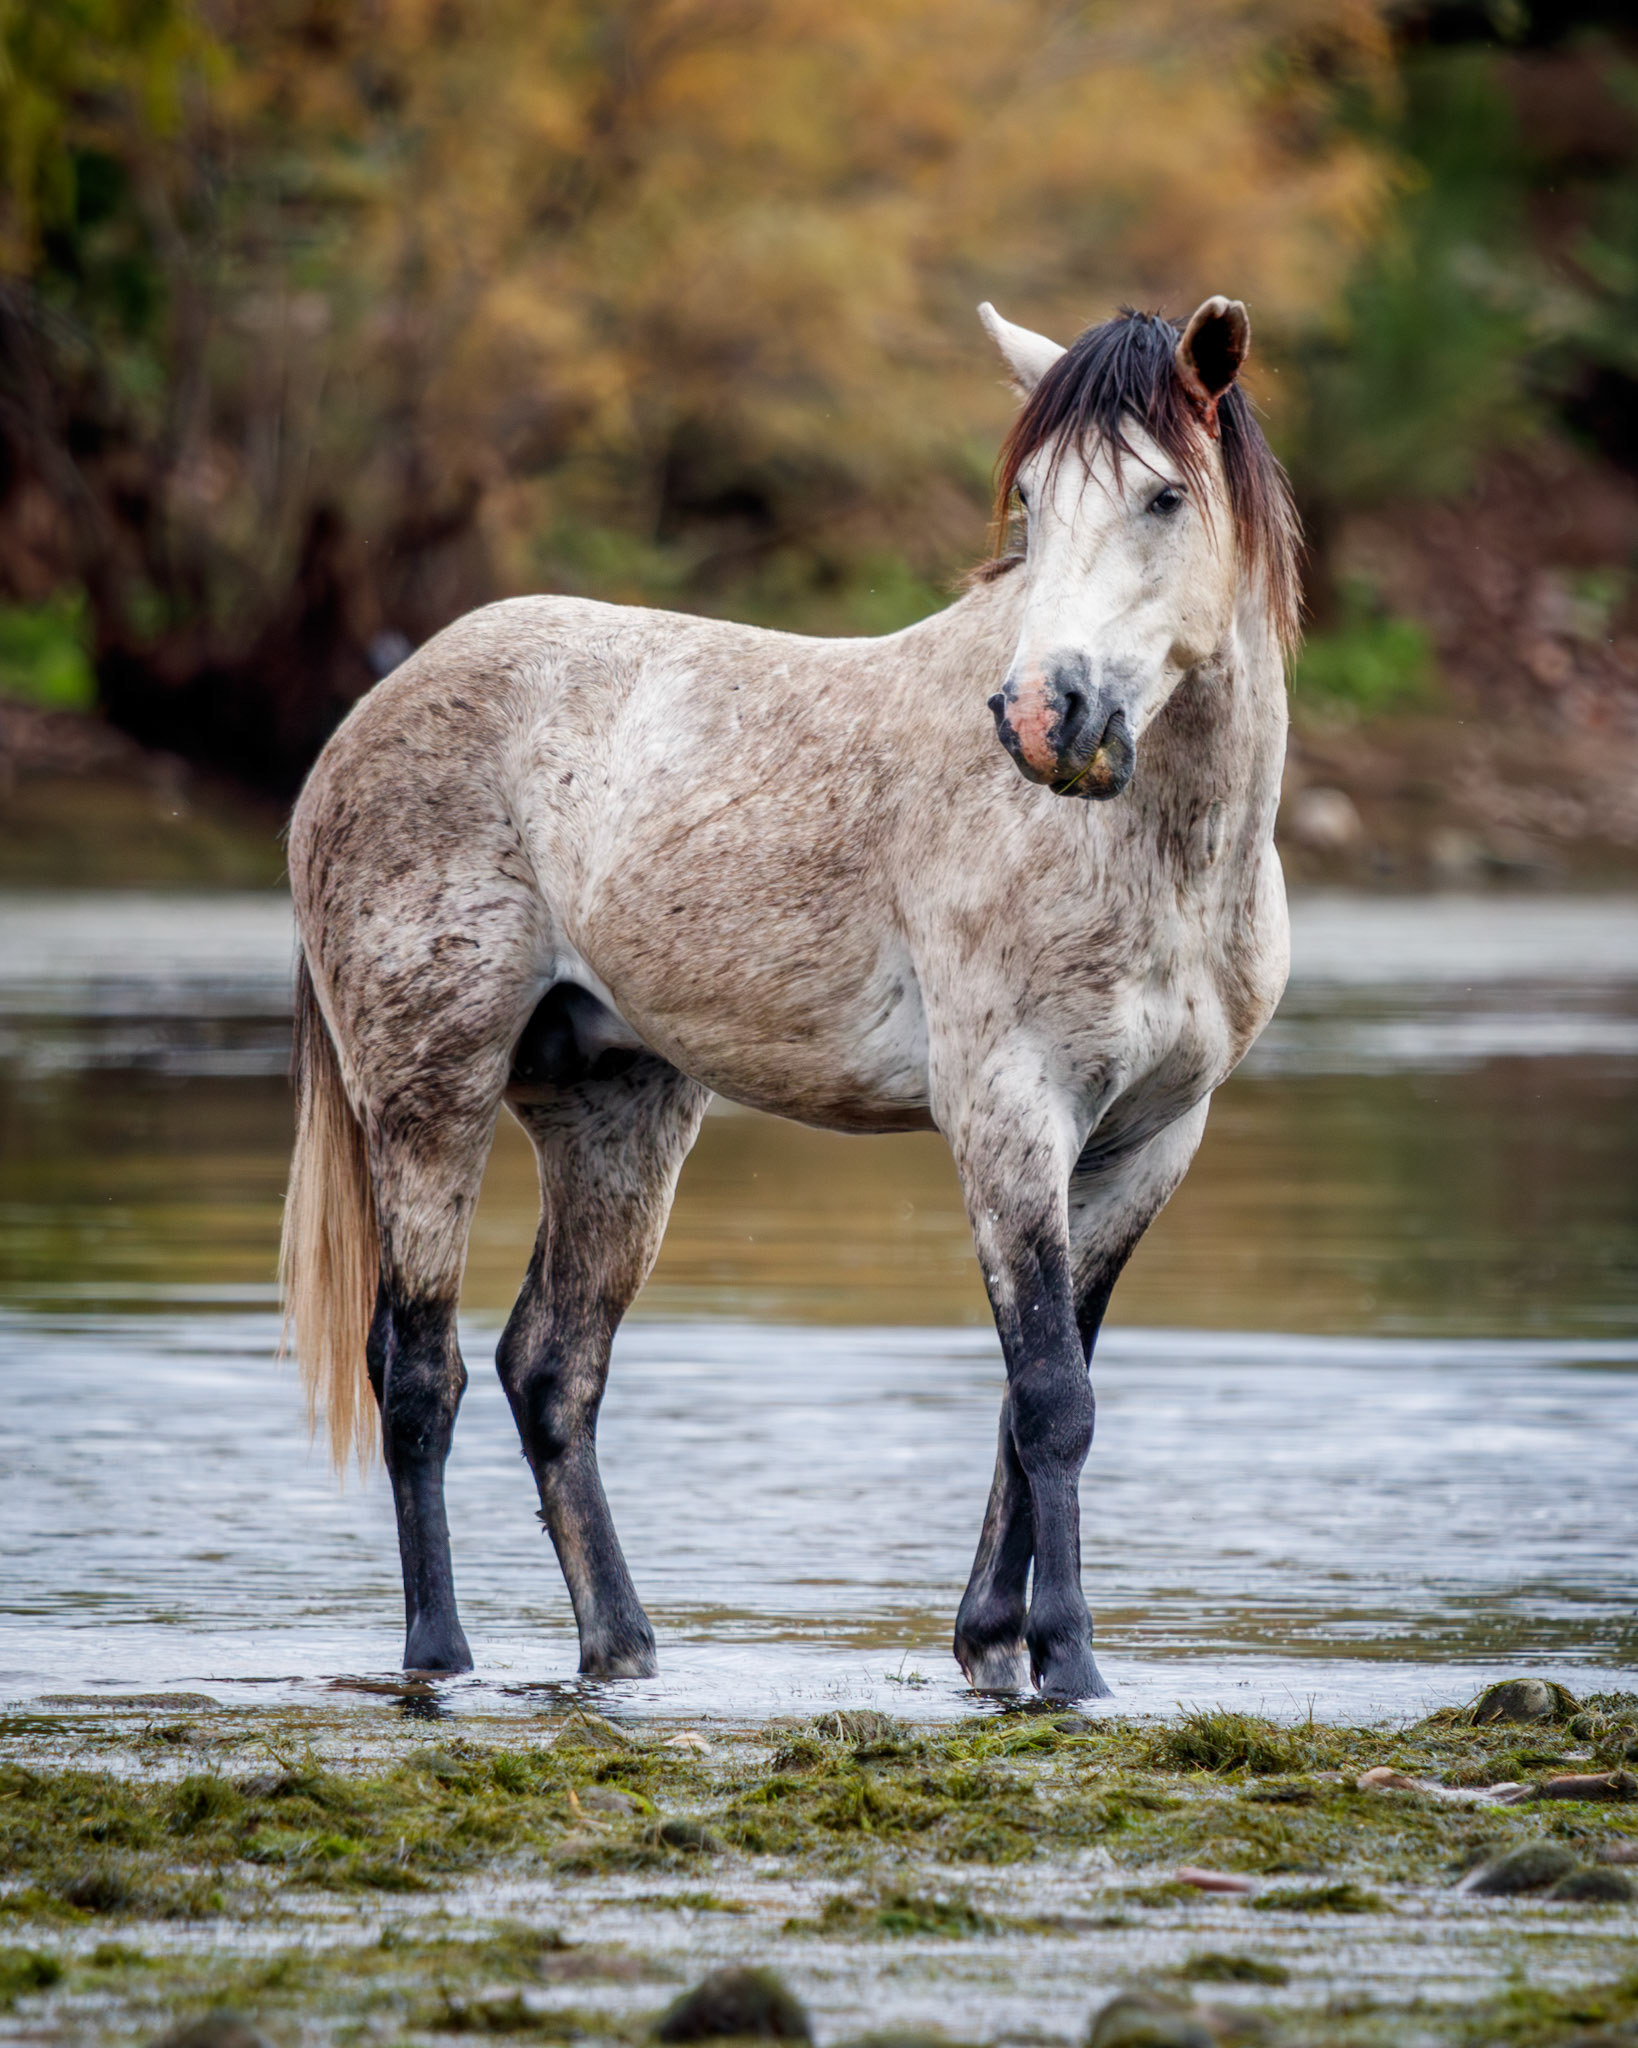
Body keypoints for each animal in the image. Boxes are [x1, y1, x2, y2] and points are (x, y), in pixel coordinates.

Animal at [281, 295, 1300, 1701]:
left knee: (552, 1367)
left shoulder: (1149, 1141)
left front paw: (996, 1642)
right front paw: (1073, 1662)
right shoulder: (1010, 1114)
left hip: (617, 1109)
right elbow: (1052, 1397)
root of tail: (357, 724)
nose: (1046, 717)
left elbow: (1033, 1393)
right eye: (1031, 501)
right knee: (417, 1367)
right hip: (430, 1095)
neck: (1163, 856)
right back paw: (442, 1653)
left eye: (1162, 496)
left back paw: (625, 1648)